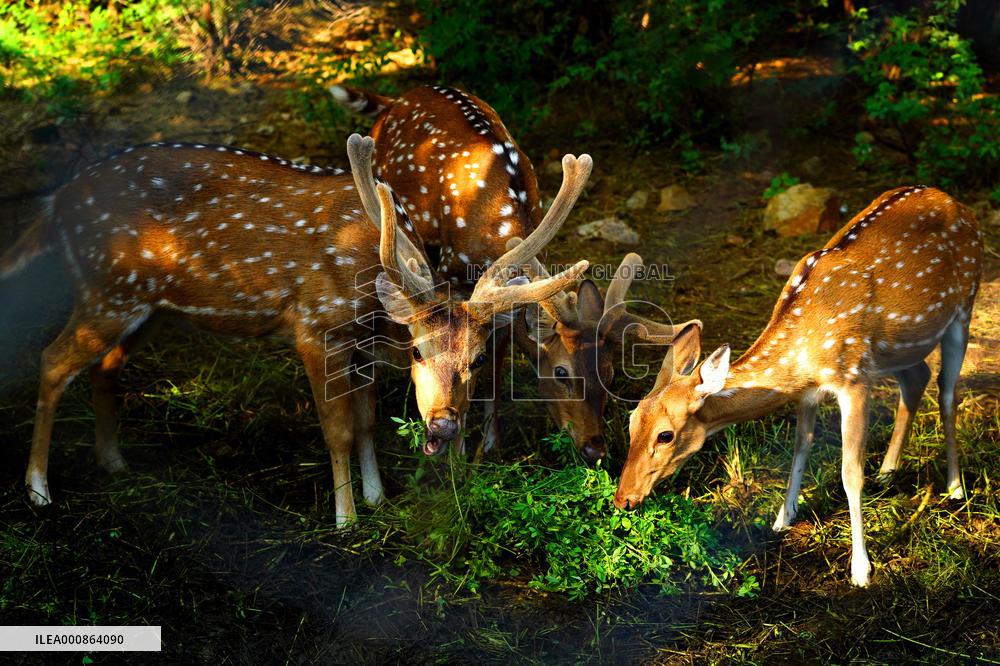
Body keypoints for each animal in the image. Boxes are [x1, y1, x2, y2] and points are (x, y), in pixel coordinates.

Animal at [0, 132, 587, 527]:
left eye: (478, 359)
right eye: (418, 352)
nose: (442, 426)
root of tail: (56, 204)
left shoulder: (359, 342)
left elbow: (368, 420)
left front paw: (376, 497)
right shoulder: (314, 325)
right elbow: (339, 428)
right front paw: (346, 518)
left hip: (145, 305)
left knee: (105, 366)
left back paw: (114, 462)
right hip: (109, 291)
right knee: (52, 361)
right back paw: (38, 491)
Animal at [331, 83, 690, 457]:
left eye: (610, 376)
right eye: (561, 373)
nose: (596, 448)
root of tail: (397, 99)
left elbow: (495, 368)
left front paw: (490, 445)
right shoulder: (451, 276)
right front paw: (460, 453)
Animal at [613, 186, 982, 586]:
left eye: (665, 435)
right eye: (631, 422)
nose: (623, 498)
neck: (803, 354)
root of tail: (955, 202)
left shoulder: (854, 379)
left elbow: (850, 472)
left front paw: (860, 569)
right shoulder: (807, 391)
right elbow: (800, 449)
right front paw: (782, 519)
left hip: (964, 306)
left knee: (947, 392)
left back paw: (954, 488)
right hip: (901, 346)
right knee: (918, 380)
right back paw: (887, 472)